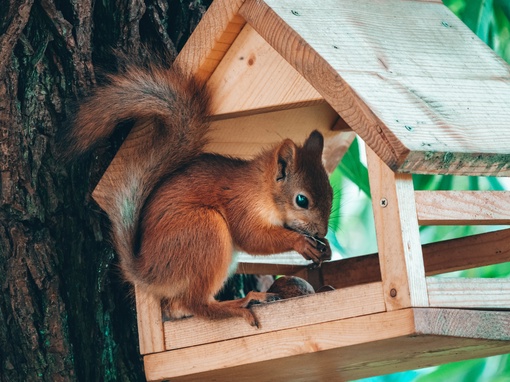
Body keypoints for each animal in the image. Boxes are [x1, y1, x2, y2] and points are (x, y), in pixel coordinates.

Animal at [61, 60, 332, 326]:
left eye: (331, 192)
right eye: (301, 200)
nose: (322, 232)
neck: (262, 189)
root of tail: (148, 272)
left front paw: (325, 247)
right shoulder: (241, 204)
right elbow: (252, 238)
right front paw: (300, 242)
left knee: (180, 306)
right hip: (205, 230)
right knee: (197, 304)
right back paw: (241, 303)